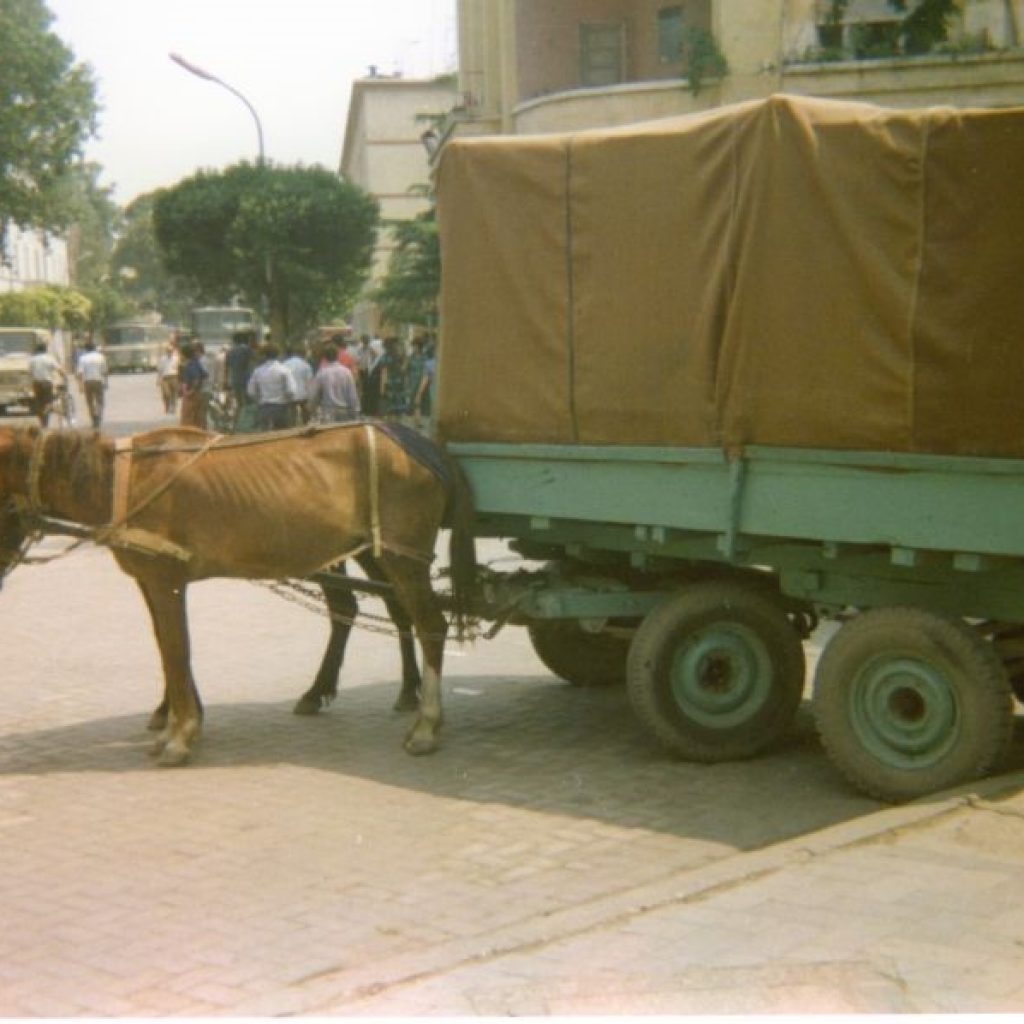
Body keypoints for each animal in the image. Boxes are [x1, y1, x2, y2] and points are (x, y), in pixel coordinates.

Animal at [0, 419, 475, 765]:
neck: (122, 482)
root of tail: (427, 446)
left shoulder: (166, 580)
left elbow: (176, 649)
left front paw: (180, 734)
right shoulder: (151, 582)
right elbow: (167, 649)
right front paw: (178, 720)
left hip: (402, 556)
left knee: (430, 624)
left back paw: (426, 725)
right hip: (376, 552)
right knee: (392, 611)